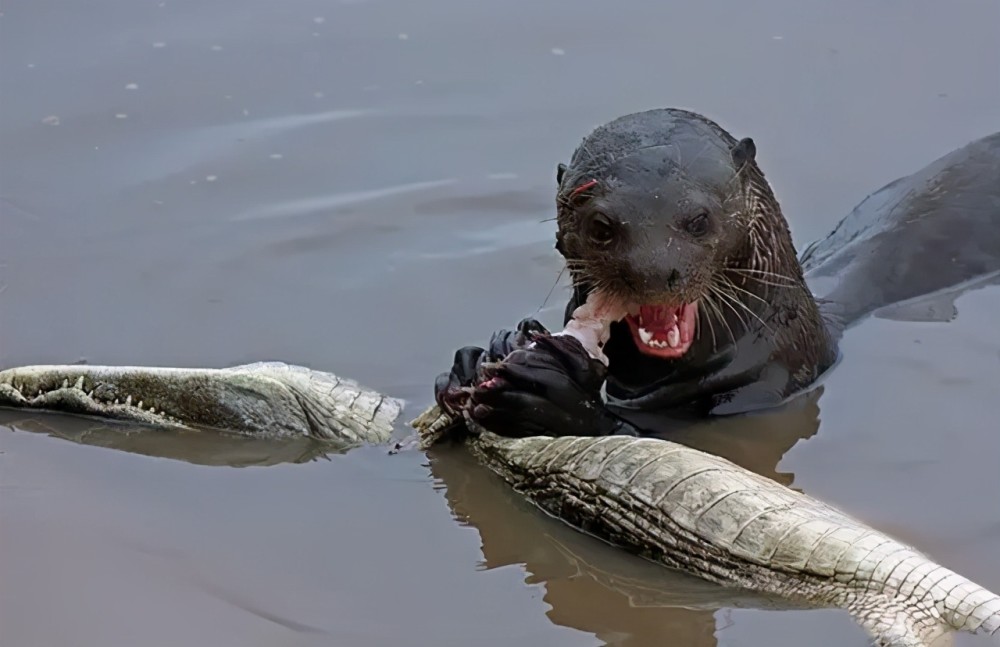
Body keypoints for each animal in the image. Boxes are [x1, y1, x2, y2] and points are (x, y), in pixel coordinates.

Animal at [436, 109, 1000, 438]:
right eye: (600, 225)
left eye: (698, 219)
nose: (654, 271)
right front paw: (479, 357)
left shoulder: (768, 388)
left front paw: (553, 395)